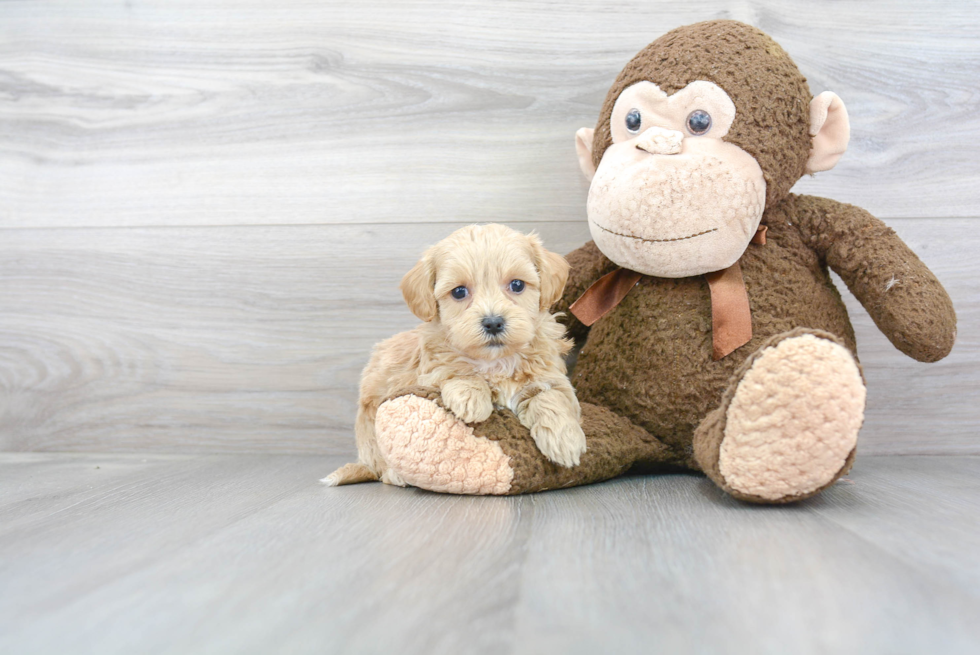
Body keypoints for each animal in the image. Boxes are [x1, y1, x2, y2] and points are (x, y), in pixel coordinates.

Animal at [322, 226, 584, 486]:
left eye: (517, 285)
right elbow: (454, 369)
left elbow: (551, 397)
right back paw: (395, 474)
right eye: (459, 292)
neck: (496, 361)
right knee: (380, 466)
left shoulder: (551, 376)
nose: (493, 322)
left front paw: (565, 440)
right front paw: (471, 397)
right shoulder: (430, 370)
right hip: (370, 427)